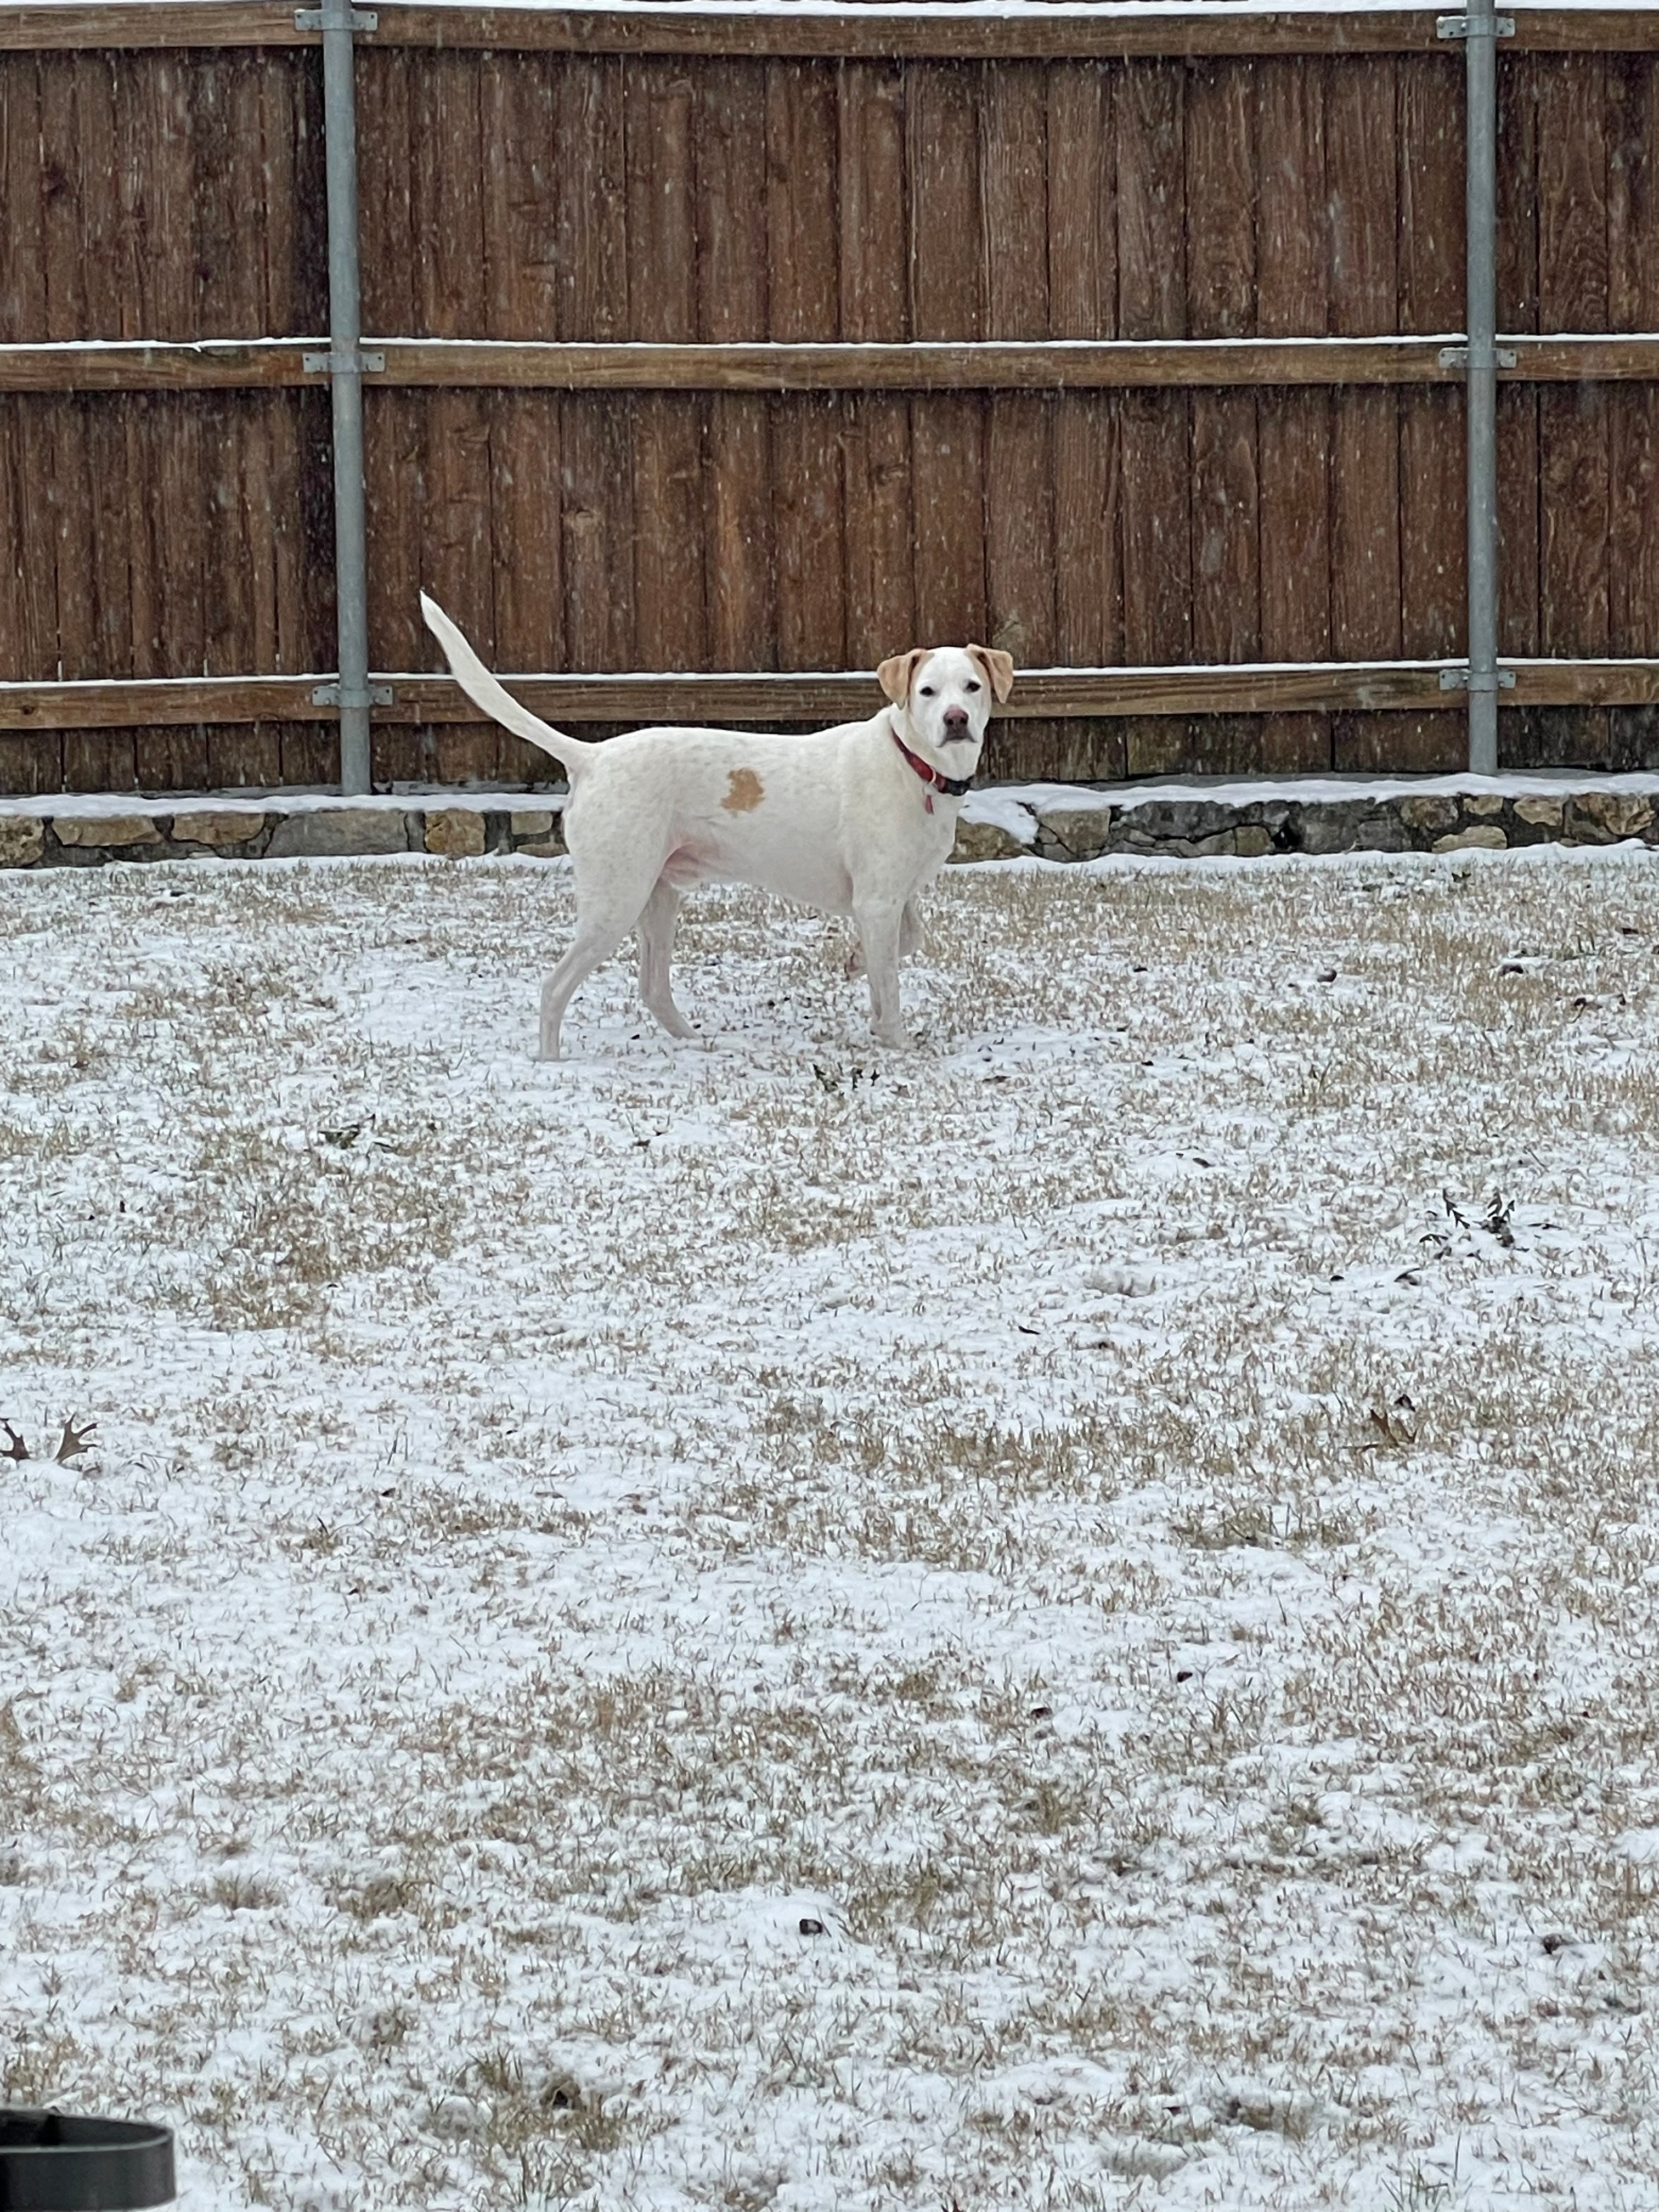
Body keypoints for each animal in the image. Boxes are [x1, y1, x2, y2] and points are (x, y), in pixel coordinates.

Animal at [418, 597, 1013, 1062]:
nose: (956, 720)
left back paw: (699, 1042)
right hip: (617, 898)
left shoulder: (891, 897)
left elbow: (907, 944)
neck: (914, 766)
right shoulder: (878, 900)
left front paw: (852, 965)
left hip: (658, 898)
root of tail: (592, 757)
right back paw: (551, 1062)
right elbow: (890, 982)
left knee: (653, 988)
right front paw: (896, 1041)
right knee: (554, 985)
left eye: (972, 686)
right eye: (928, 692)